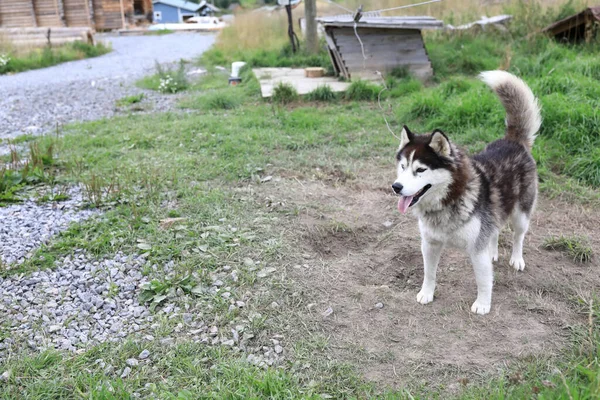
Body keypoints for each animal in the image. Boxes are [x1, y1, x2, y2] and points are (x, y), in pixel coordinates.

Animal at [392, 72, 540, 316]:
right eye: (403, 167)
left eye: (420, 170)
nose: (396, 187)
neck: (448, 200)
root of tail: (512, 140)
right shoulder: (429, 243)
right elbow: (429, 273)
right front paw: (427, 293)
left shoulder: (476, 249)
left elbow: (483, 280)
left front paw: (483, 304)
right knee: (495, 231)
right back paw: (494, 251)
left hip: (521, 214)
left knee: (518, 236)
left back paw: (517, 259)